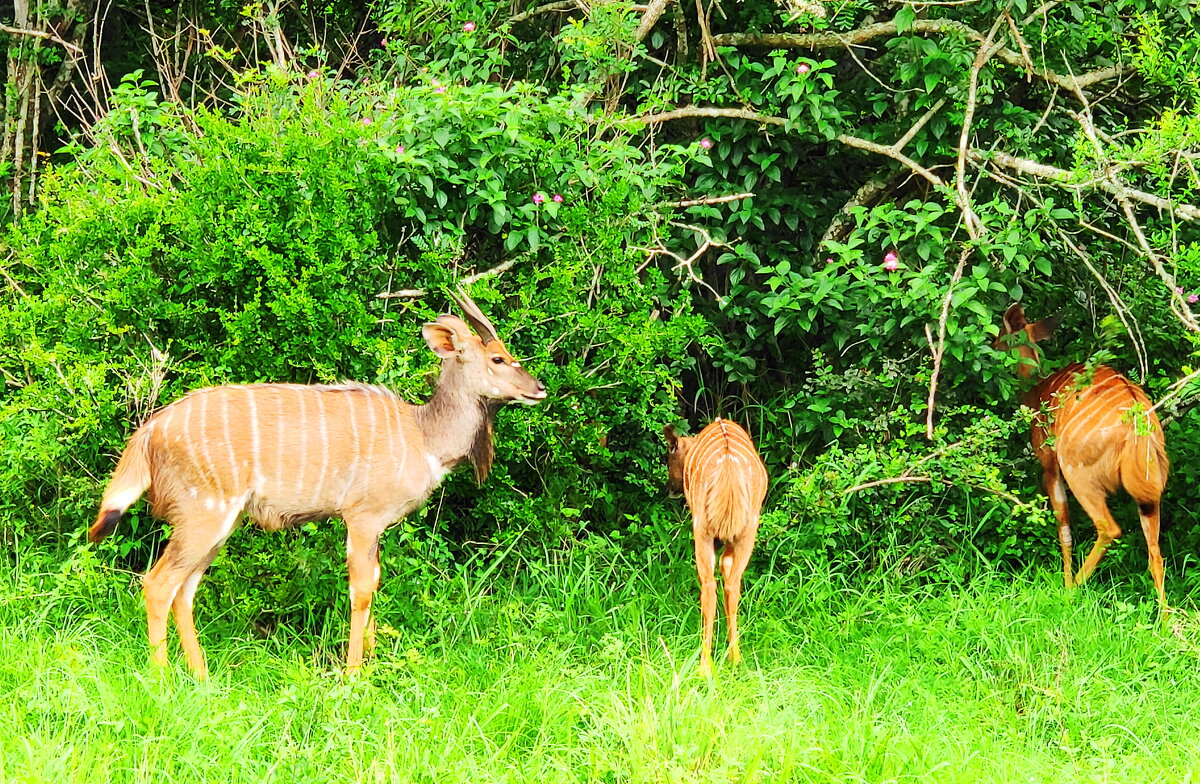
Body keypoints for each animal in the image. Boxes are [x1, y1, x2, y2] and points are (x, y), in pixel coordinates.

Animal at [91, 290, 547, 677]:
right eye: (498, 358)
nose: (539, 389)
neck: (423, 436)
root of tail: (149, 433)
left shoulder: (372, 526)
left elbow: (374, 580)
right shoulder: (362, 518)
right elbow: (361, 588)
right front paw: (354, 673)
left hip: (217, 523)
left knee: (184, 589)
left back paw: (201, 677)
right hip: (204, 514)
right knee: (158, 583)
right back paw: (162, 679)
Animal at [667, 417, 768, 677]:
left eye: (669, 455)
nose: (670, 488)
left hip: (702, 527)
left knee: (709, 585)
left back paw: (704, 665)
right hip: (747, 530)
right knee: (732, 584)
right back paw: (736, 659)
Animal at [993, 301, 1171, 605]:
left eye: (998, 339)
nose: (991, 350)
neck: (1037, 390)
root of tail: (1137, 428)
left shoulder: (1049, 463)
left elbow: (1062, 522)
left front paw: (1064, 586)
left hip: (1078, 472)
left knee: (1109, 528)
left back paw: (1073, 589)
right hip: (1150, 486)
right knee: (1155, 554)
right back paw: (1165, 618)